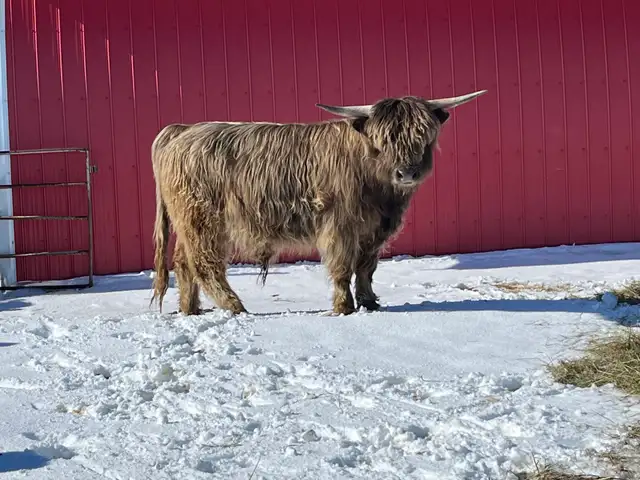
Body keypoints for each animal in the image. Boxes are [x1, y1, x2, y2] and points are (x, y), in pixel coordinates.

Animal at [150, 90, 487, 316]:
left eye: (423, 137)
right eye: (383, 140)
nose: (407, 173)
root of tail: (182, 131)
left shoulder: (374, 230)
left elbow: (366, 267)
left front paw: (369, 302)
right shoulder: (340, 226)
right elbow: (342, 266)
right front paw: (344, 306)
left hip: (189, 222)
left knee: (183, 262)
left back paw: (191, 309)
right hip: (203, 221)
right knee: (205, 264)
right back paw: (235, 306)